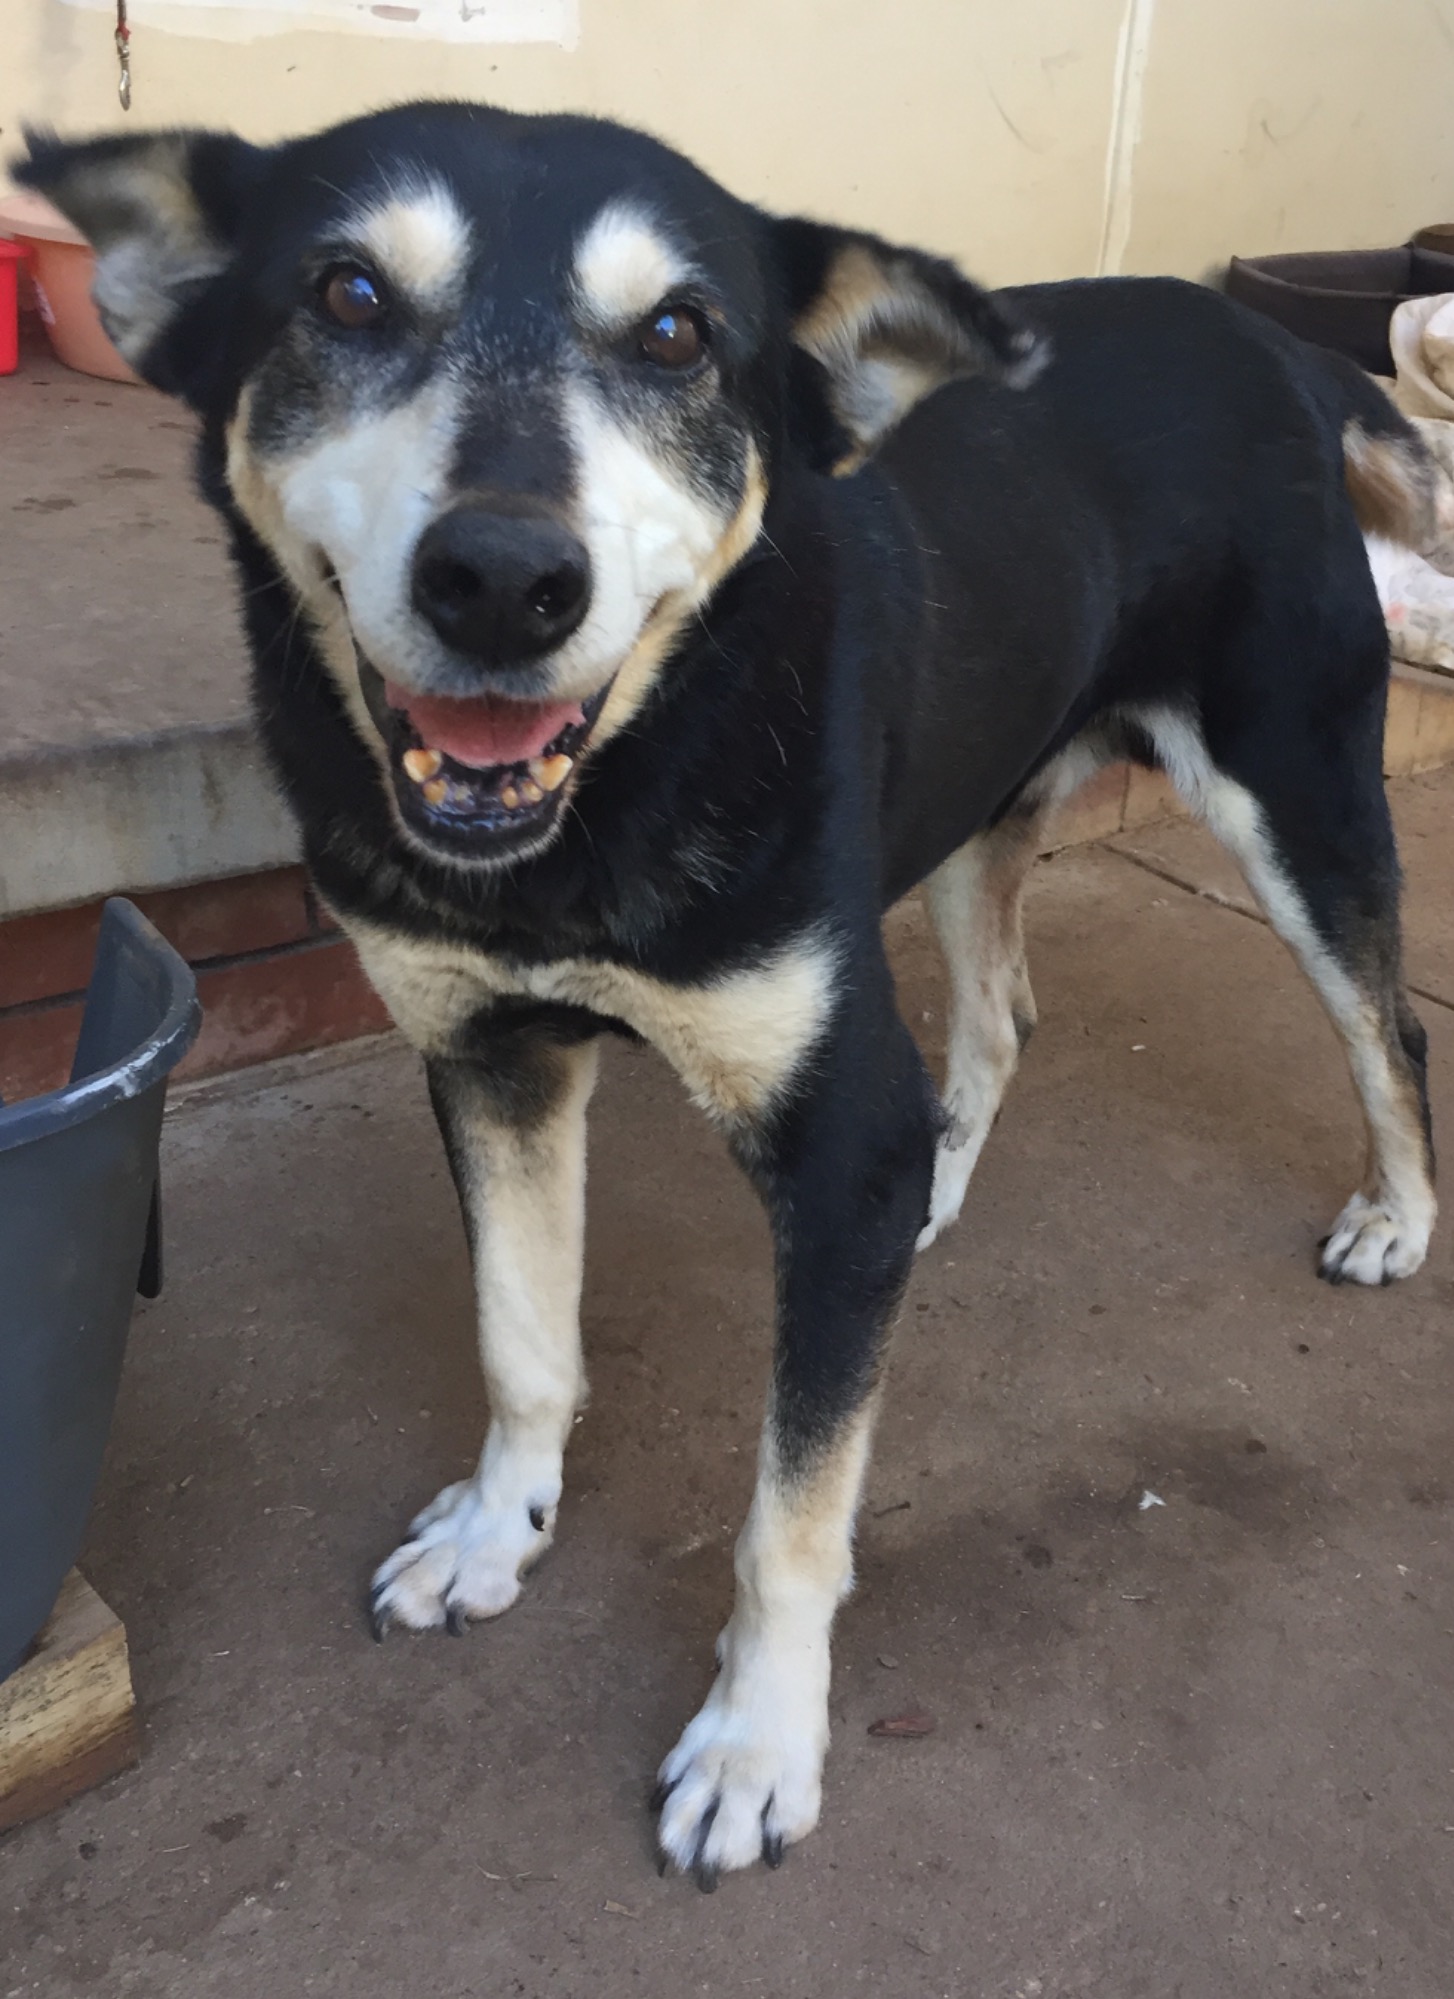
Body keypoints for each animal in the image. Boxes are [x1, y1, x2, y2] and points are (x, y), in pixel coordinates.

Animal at [18, 101, 1440, 1887]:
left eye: (680, 334)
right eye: (346, 294)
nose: (504, 579)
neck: (614, 778)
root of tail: (1272, 345)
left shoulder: (826, 1112)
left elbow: (788, 1516)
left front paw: (756, 1743)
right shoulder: (490, 1056)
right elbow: (519, 1336)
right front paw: (495, 1530)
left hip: (1291, 784)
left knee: (1381, 1020)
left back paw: (1394, 1218)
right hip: (975, 806)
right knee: (998, 1019)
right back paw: (936, 1196)